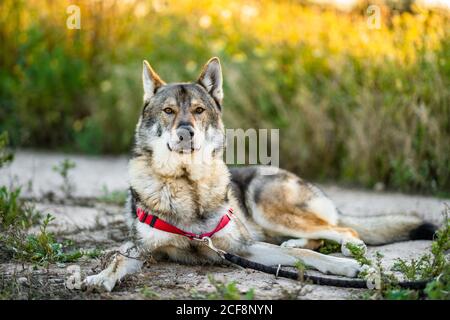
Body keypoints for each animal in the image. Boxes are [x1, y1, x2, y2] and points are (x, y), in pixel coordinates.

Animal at [81, 56, 436, 292]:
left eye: (198, 110)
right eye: (168, 111)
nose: (186, 133)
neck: (188, 186)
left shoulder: (243, 248)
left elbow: (304, 255)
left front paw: (346, 267)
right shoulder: (142, 249)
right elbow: (116, 259)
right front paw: (97, 278)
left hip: (269, 208)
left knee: (341, 231)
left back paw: (349, 250)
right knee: (319, 235)